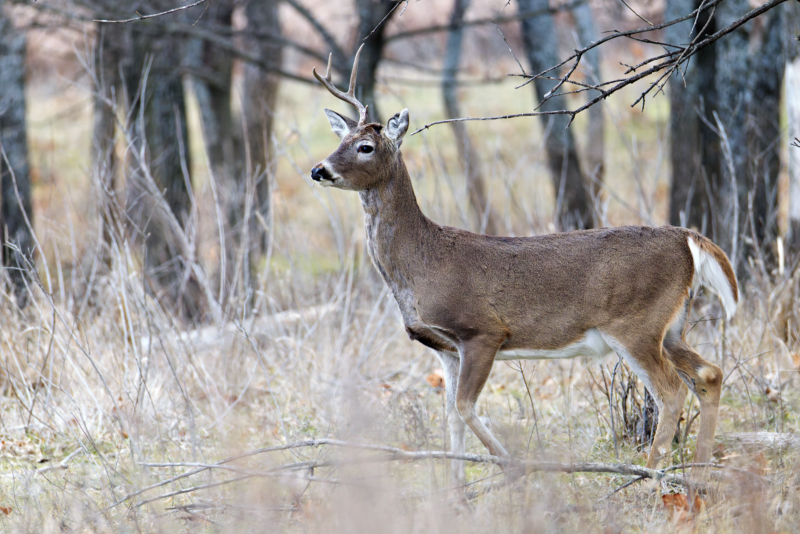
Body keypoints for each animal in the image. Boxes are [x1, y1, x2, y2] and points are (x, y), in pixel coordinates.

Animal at [308, 48, 736, 488]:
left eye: (365, 146)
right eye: (339, 140)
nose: (319, 170)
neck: (422, 261)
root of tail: (686, 238)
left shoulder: (483, 331)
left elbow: (464, 407)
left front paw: (514, 469)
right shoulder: (446, 348)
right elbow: (451, 417)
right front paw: (456, 491)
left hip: (636, 324)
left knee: (671, 392)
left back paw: (647, 476)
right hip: (670, 325)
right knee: (709, 374)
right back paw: (699, 473)